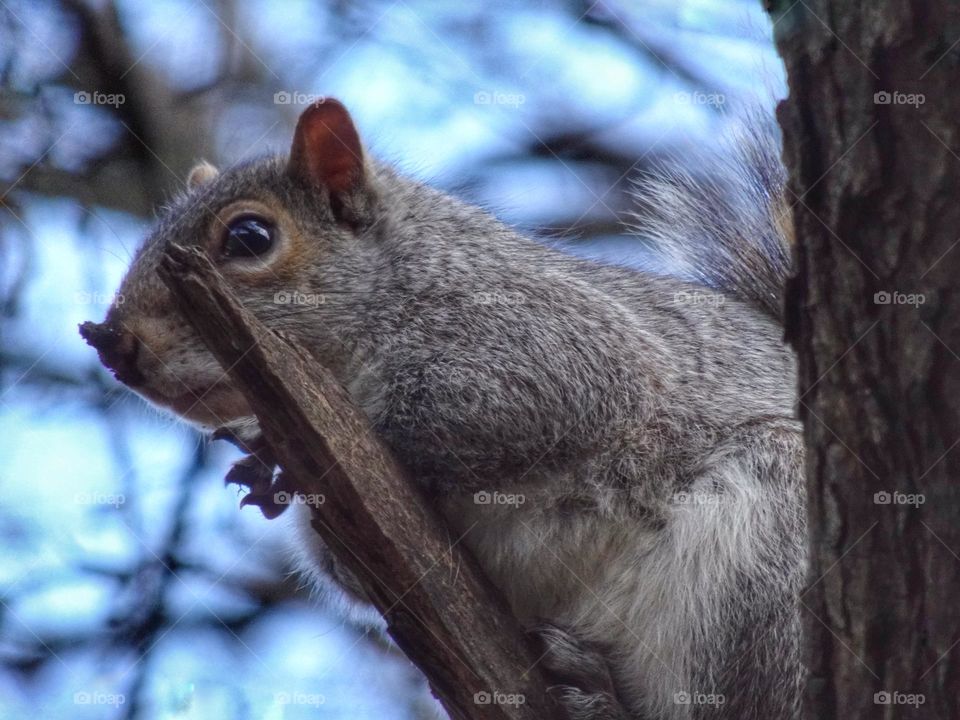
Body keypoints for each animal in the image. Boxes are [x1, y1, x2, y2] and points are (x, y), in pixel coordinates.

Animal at [80, 99, 805, 720]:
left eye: (250, 236)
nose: (115, 344)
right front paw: (266, 467)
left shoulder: (551, 347)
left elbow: (532, 404)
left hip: (770, 559)